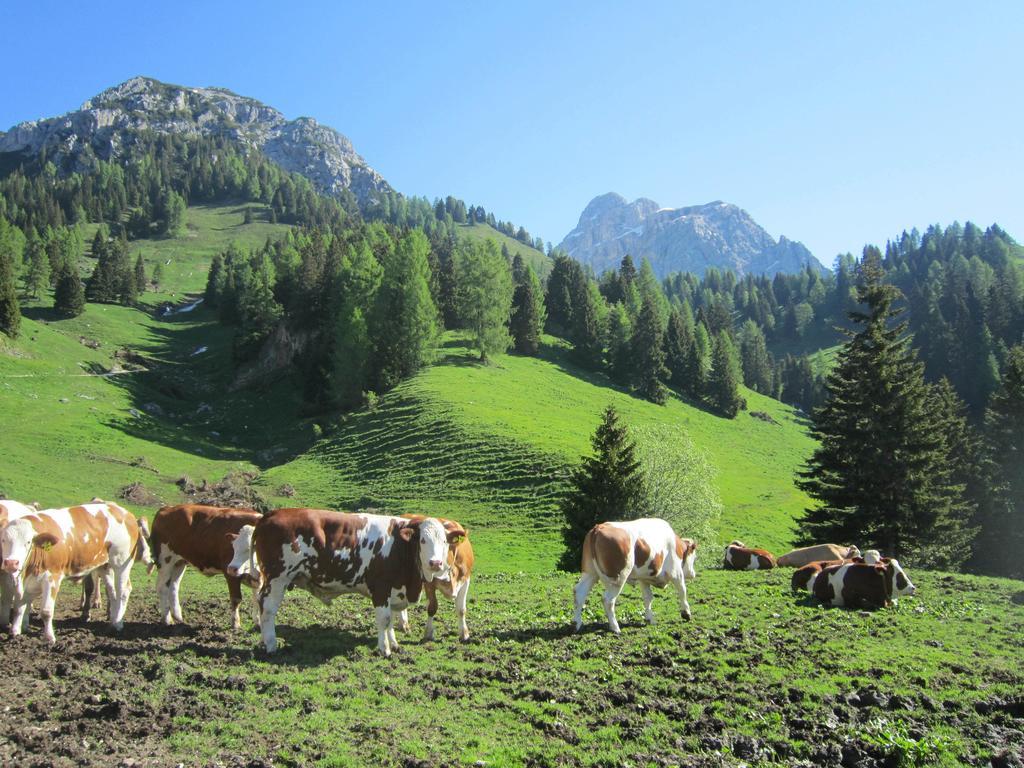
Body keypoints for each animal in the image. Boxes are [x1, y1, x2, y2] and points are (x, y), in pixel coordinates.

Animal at [0, 501, 151, 647]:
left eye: (28, 542)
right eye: (3, 540)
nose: (11, 563)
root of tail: (125, 513)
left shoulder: (52, 577)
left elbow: (46, 611)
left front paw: (49, 638)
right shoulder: (26, 580)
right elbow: (20, 606)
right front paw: (15, 632)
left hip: (121, 562)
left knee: (123, 591)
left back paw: (118, 624)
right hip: (105, 566)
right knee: (112, 592)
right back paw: (113, 621)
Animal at [230, 512, 466, 655]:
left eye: (444, 541)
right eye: (423, 540)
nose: (435, 563)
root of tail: (269, 515)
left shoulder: (393, 590)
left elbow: (390, 621)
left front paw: (394, 643)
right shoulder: (380, 588)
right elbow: (384, 619)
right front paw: (384, 649)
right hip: (278, 578)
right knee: (267, 608)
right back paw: (271, 644)